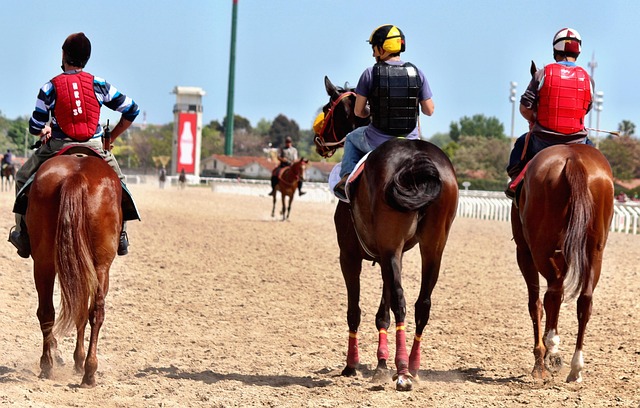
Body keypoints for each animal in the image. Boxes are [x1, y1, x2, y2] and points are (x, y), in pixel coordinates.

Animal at [25, 152, 122, 387]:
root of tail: (75, 176)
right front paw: (78, 360)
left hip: (43, 262)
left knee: (48, 311)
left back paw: (49, 365)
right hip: (100, 266)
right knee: (94, 311)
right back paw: (87, 371)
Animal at [317, 76, 459, 391]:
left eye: (326, 108)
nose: (318, 141)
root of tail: (418, 160)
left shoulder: (350, 255)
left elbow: (355, 310)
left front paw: (352, 365)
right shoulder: (388, 254)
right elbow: (383, 311)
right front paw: (381, 364)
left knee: (402, 302)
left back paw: (403, 372)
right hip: (434, 247)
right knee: (421, 304)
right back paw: (412, 366)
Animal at [511, 142, 614, 383]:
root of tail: (573, 158)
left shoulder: (524, 252)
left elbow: (535, 304)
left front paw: (541, 360)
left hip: (541, 249)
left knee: (553, 293)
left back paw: (552, 350)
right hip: (595, 251)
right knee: (585, 300)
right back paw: (576, 368)